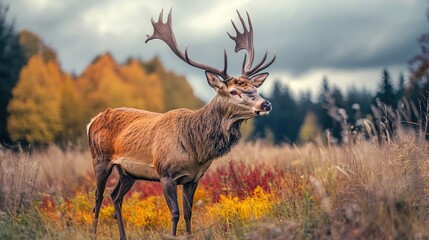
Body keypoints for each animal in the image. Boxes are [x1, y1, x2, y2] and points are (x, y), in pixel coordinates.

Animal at [88, 7, 274, 240]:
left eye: (254, 88)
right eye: (233, 91)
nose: (266, 104)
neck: (196, 149)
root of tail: (92, 121)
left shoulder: (193, 178)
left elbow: (188, 213)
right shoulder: (165, 174)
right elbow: (175, 213)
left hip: (127, 172)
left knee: (115, 197)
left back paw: (122, 235)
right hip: (100, 158)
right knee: (98, 197)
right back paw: (93, 233)